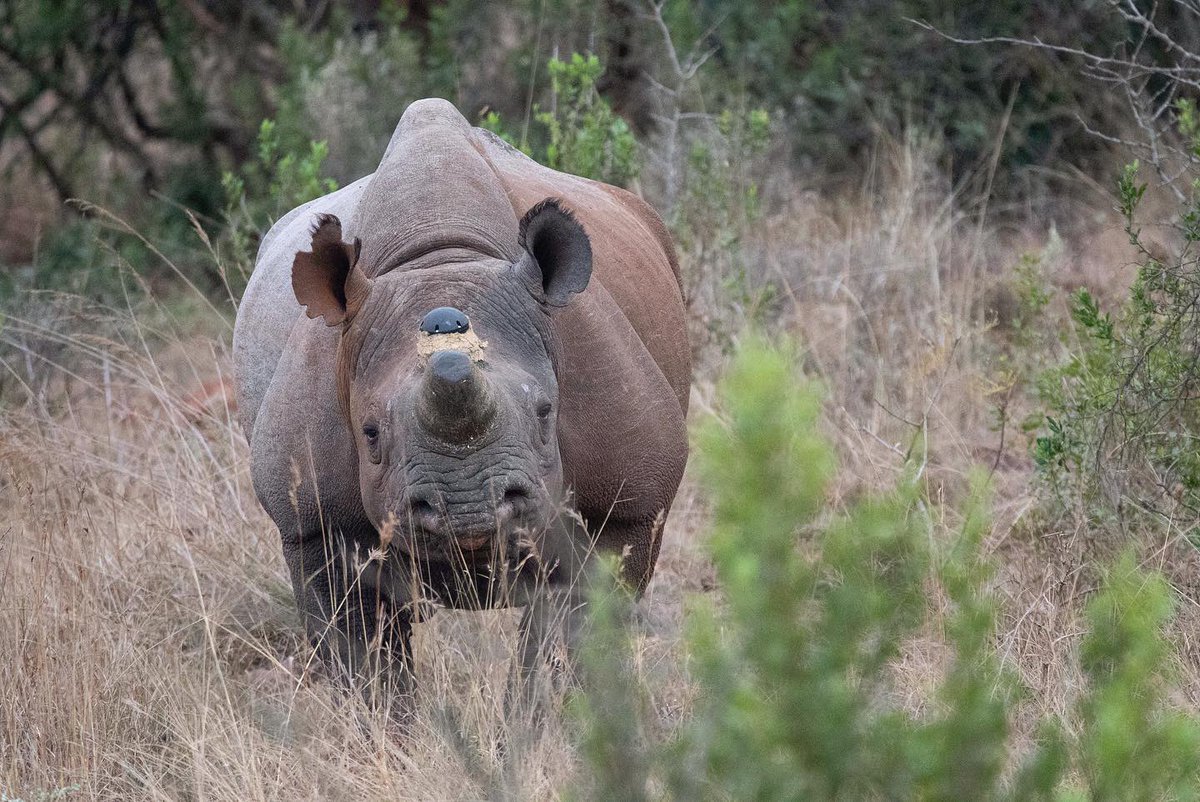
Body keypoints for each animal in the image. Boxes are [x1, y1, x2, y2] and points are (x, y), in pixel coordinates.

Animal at [233, 98, 689, 711]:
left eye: (547, 413)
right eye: (370, 434)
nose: (469, 508)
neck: (440, 258)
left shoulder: (629, 506)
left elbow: (572, 644)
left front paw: (551, 728)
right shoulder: (312, 525)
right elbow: (366, 667)